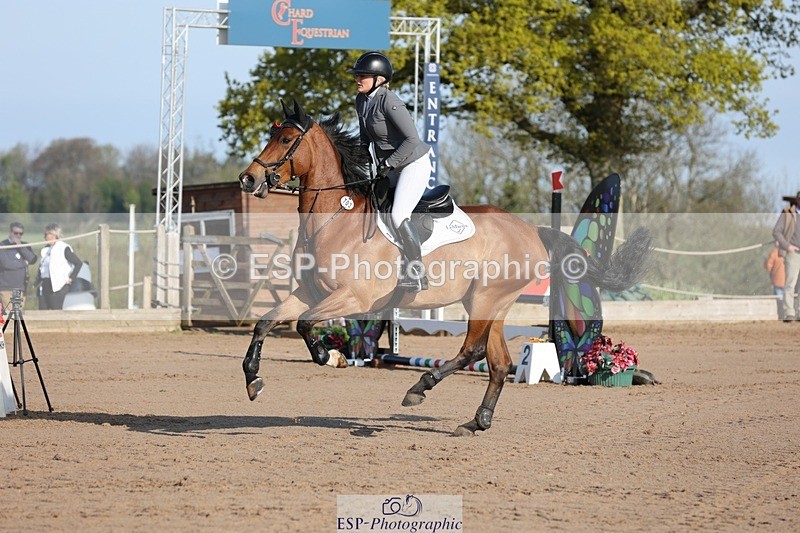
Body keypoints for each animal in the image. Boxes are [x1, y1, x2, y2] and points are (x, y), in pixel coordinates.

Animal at [237, 99, 651, 436]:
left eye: (286, 140)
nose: (248, 178)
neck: (333, 219)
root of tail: (531, 230)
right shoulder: (308, 292)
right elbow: (266, 323)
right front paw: (253, 381)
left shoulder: (354, 298)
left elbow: (304, 325)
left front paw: (332, 357)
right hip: (491, 304)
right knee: (498, 363)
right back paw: (476, 422)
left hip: (485, 298)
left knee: (473, 351)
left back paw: (420, 388)